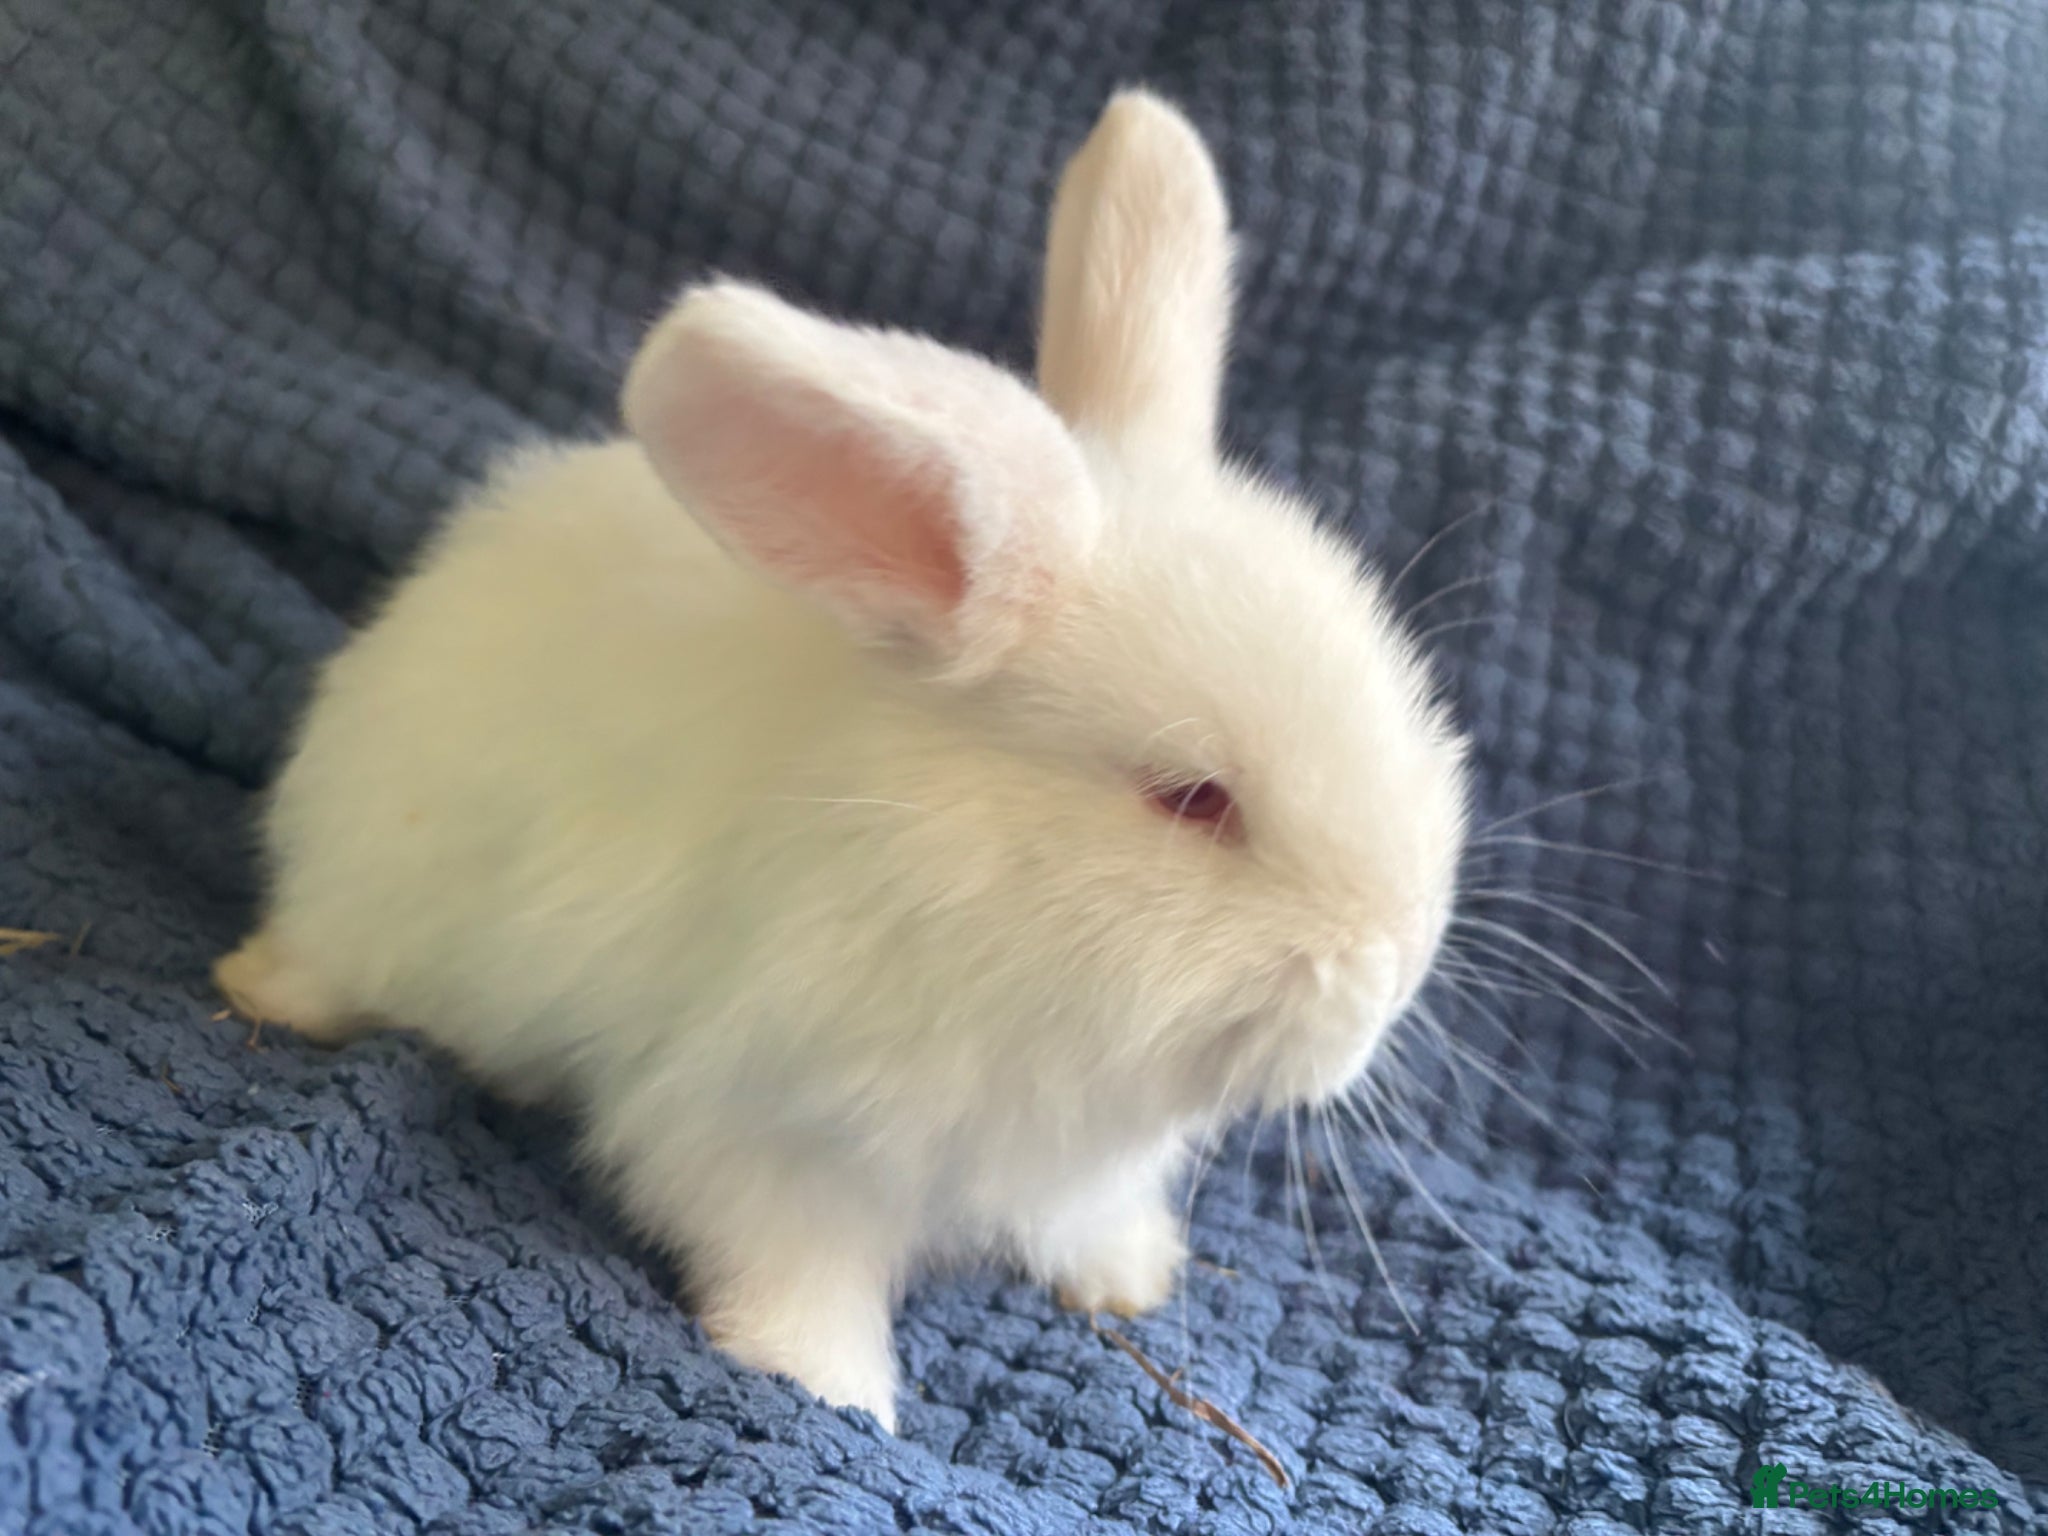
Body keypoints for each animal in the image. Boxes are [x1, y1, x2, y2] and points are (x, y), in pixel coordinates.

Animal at [213, 89, 1471, 1432]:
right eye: (1192, 799)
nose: (1395, 962)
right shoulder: (756, 1130)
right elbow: (795, 1264)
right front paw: (826, 1388)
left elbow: (1079, 1218)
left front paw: (1128, 1277)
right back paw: (263, 991)